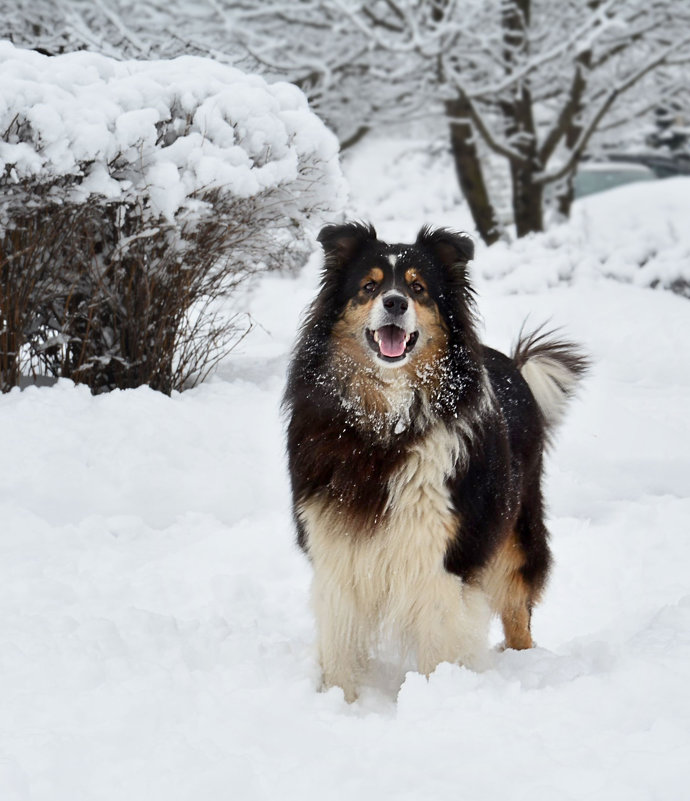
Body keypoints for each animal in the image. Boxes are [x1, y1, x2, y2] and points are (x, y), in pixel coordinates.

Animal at [284, 220, 584, 700]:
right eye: (369, 286)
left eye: (418, 288)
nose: (394, 302)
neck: (386, 428)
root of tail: (514, 365)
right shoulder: (335, 547)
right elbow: (340, 644)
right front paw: (340, 702)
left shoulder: (443, 554)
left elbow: (440, 640)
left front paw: (436, 696)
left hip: (516, 530)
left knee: (518, 609)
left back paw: (525, 663)